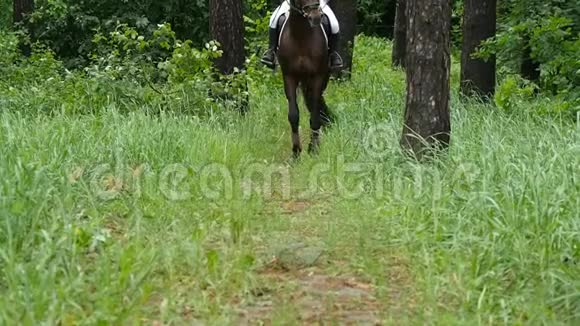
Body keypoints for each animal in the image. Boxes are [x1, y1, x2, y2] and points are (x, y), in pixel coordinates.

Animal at [278, 0, 334, 157]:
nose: (315, 17)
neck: (301, 37)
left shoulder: (317, 77)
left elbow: (315, 114)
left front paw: (313, 149)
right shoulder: (289, 76)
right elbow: (293, 115)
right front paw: (296, 151)